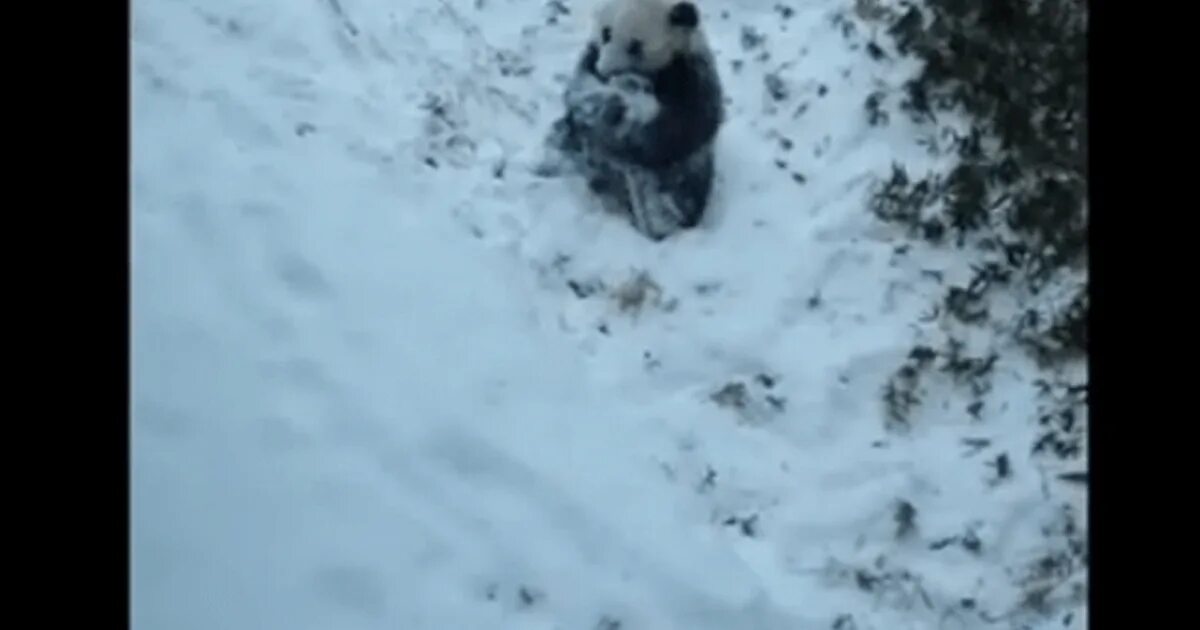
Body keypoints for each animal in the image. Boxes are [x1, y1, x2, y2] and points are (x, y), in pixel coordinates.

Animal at [544, 0, 720, 241]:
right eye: (607, 32)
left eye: (635, 46)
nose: (604, 70)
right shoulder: (590, 56)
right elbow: (578, 88)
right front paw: (599, 101)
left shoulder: (690, 81)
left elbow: (664, 134)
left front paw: (622, 100)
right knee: (562, 139)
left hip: (684, 178)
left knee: (671, 198)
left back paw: (661, 222)